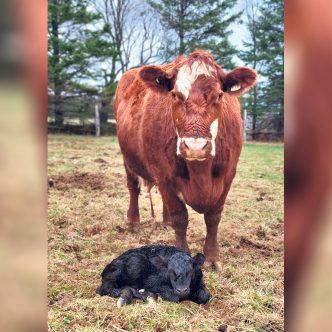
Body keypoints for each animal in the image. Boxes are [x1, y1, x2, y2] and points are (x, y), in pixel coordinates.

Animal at [114, 49, 256, 268]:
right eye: (174, 95)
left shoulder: (228, 175)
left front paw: (212, 258)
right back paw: (133, 222)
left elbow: (213, 217)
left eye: (219, 95)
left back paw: (165, 223)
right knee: (133, 188)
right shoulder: (164, 175)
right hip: (128, 159)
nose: (195, 147)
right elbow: (180, 217)